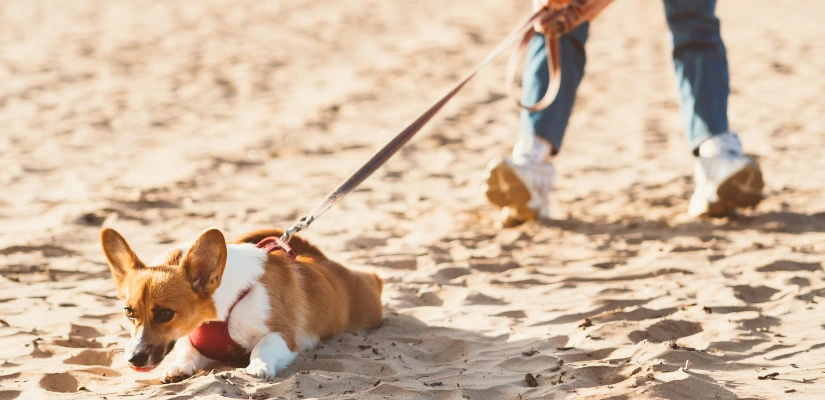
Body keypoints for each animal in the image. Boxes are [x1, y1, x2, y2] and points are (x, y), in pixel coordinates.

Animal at [101, 228, 384, 382]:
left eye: (165, 313)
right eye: (129, 312)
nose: (133, 360)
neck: (222, 311)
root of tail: (319, 259)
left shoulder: (284, 335)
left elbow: (263, 345)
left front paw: (258, 366)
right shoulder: (192, 342)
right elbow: (186, 351)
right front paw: (178, 367)